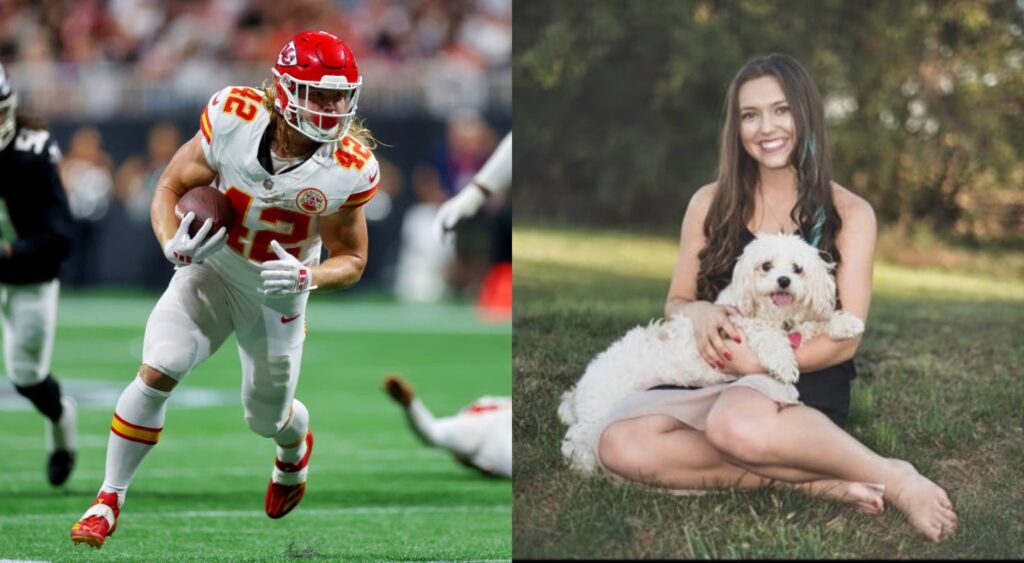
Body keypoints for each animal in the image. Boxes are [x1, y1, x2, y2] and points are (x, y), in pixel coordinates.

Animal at [561, 231, 864, 474]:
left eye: (798, 269)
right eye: (766, 266)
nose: (784, 280)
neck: (776, 315)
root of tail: (582, 387)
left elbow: (814, 325)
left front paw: (846, 323)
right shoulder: (742, 327)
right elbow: (770, 337)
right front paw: (783, 364)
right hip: (601, 407)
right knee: (576, 436)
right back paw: (584, 466)